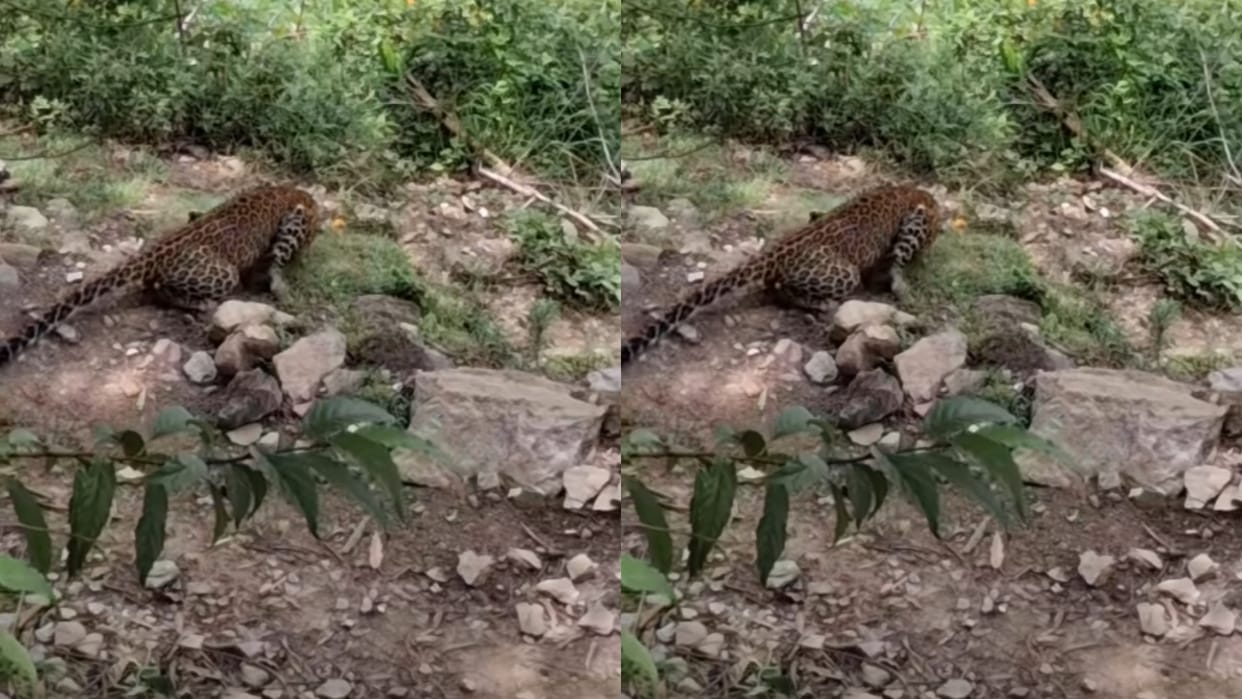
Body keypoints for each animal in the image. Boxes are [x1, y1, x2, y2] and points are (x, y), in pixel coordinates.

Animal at [0, 184, 320, 368]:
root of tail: (153, 253)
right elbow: (278, 261)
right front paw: (280, 284)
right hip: (224, 273)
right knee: (160, 290)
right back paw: (200, 304)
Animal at [621, 184, 941, 365]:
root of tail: (774, 253)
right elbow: (899, 261)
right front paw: (901, 284)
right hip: (845, 272)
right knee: (782, 291)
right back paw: (822, 304)